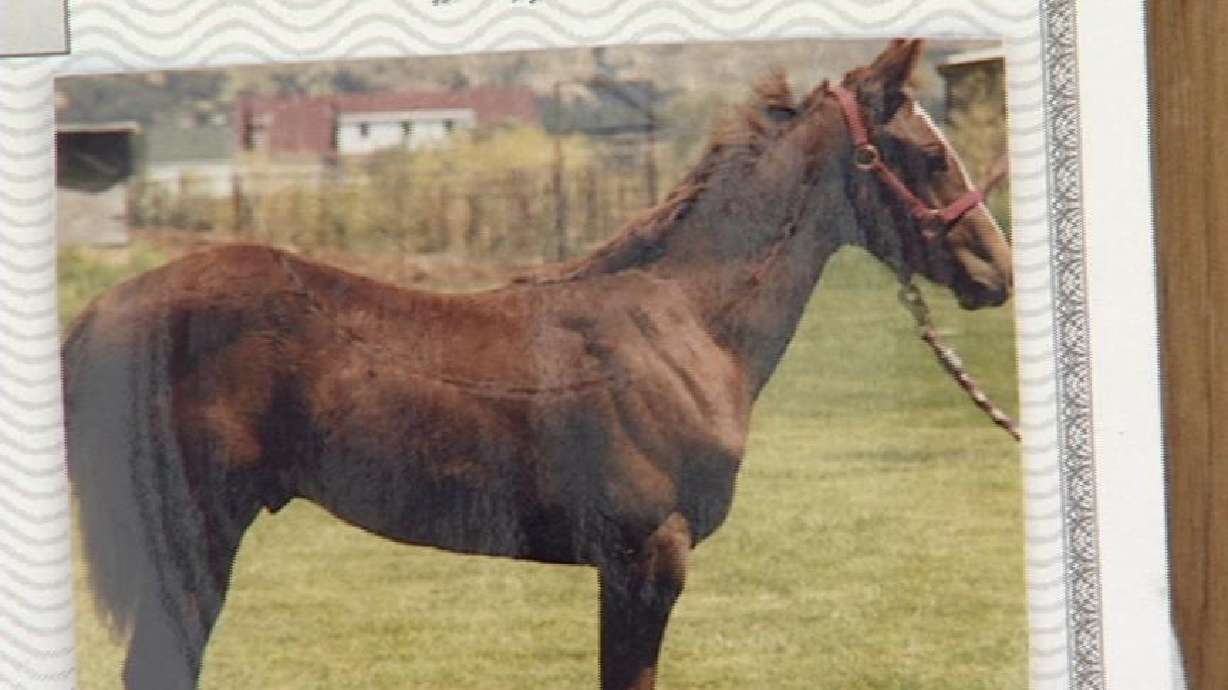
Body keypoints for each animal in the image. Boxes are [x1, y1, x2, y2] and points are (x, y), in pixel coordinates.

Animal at [62, 39, 1012, 690]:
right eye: (930, 154)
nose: (996, 273)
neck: (683, 326)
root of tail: (102, 314)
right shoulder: (646, 560)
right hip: (191, 540)